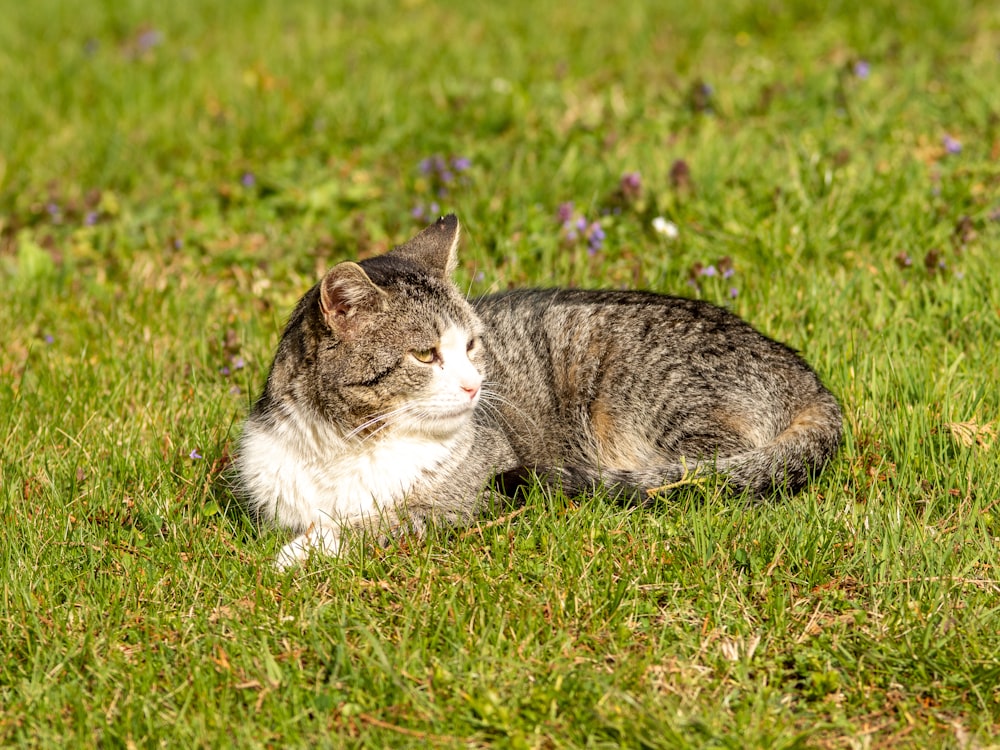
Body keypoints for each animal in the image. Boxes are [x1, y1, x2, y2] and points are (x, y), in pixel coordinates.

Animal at [236, 214, 844, 568]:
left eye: (473, 344)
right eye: (425, 355)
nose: (475, 384)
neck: (349, 446)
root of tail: (808, 376)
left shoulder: (466, 497)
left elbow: (377, 522)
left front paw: (302, 552)